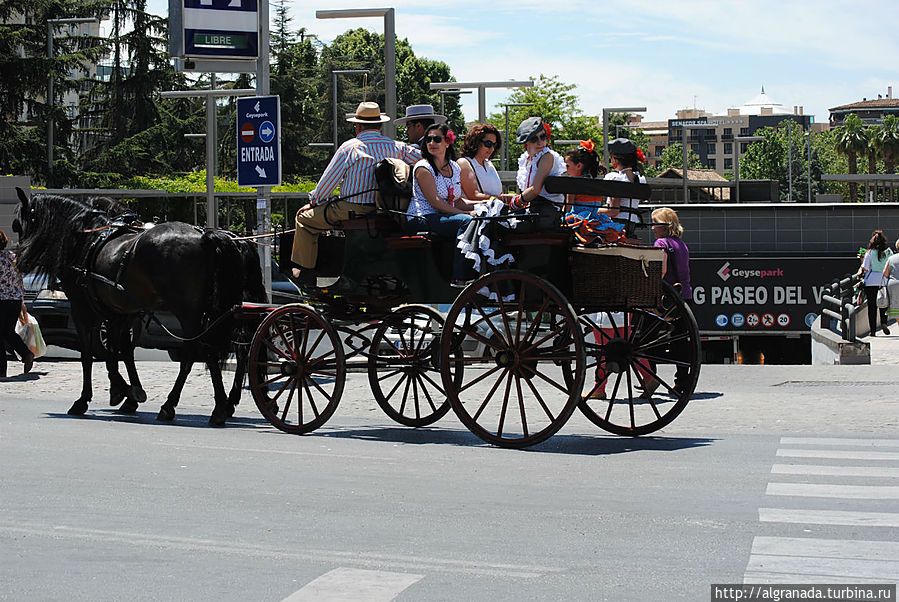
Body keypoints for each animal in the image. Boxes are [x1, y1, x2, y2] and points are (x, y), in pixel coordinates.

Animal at [13, 190, 256, 424]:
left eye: (19, 224)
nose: (19, 260)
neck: (87, 240)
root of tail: (204, 235)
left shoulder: (83, 311)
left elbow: (90, 355)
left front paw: (91, 398)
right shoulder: (121, 314)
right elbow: (121, 351)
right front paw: (128, 392)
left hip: (188, 313)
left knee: (200, 351)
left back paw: (201, 407)